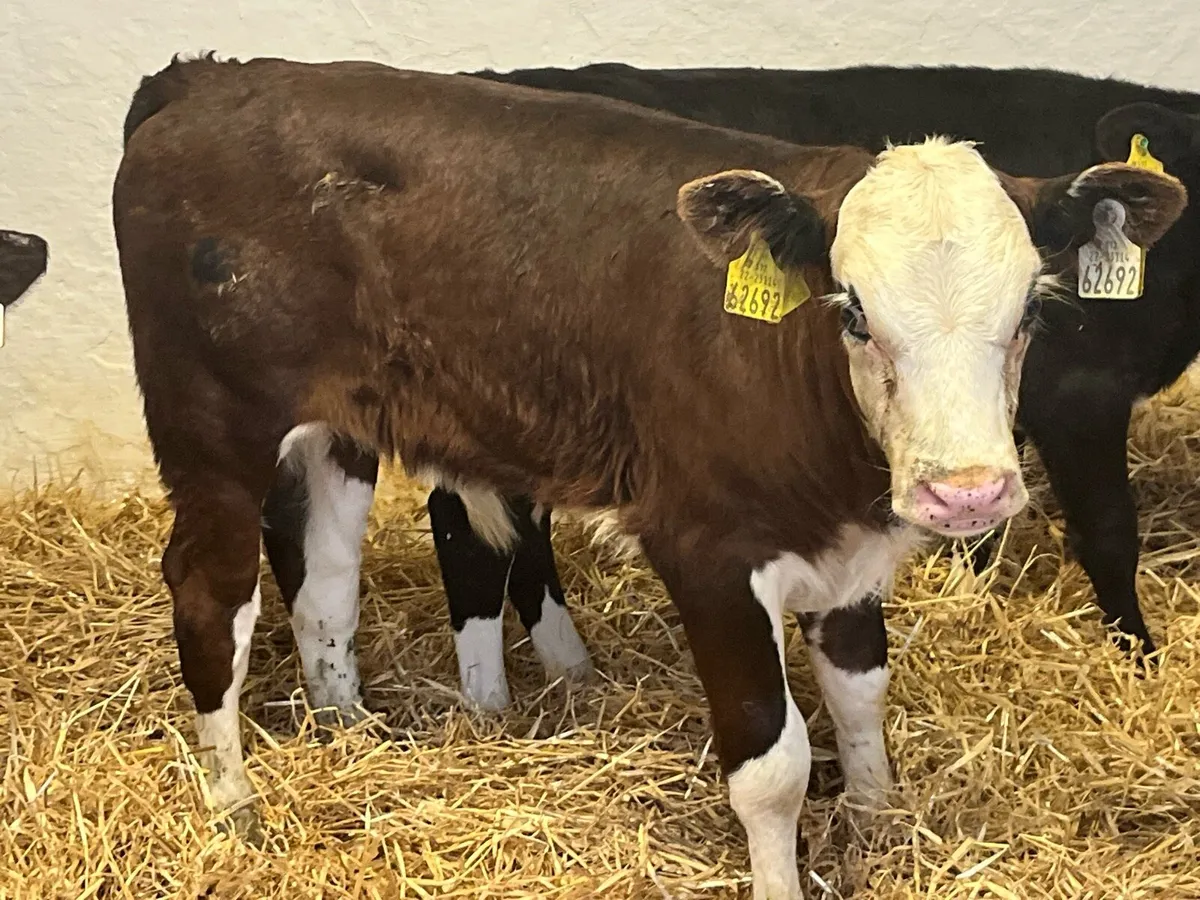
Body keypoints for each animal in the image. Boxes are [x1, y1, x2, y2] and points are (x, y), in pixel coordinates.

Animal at [112, 54, 1185, 897]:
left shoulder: (850, 555)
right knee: (213, 597)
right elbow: (773, 764)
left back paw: (350, 739)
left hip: (341, 425)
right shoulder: (707, 548)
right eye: (852, 310)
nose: (967, 491)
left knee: (325, 585)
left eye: (1033, 310)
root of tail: (208, 77)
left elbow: (860, 696)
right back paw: (235, 806)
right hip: (213, 421)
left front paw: (880, 828)